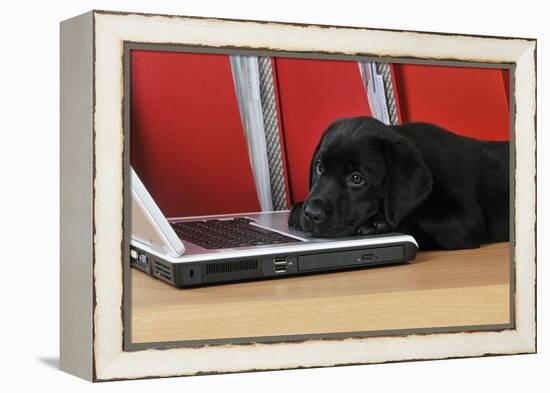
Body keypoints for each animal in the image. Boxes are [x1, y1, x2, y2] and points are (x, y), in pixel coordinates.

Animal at [292, 115, 512, 248]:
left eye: (357, 178)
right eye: (319, 167)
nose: (311, 213)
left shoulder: (466, 220)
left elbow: (413, 217)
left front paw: (376, 224)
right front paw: (296, 209)